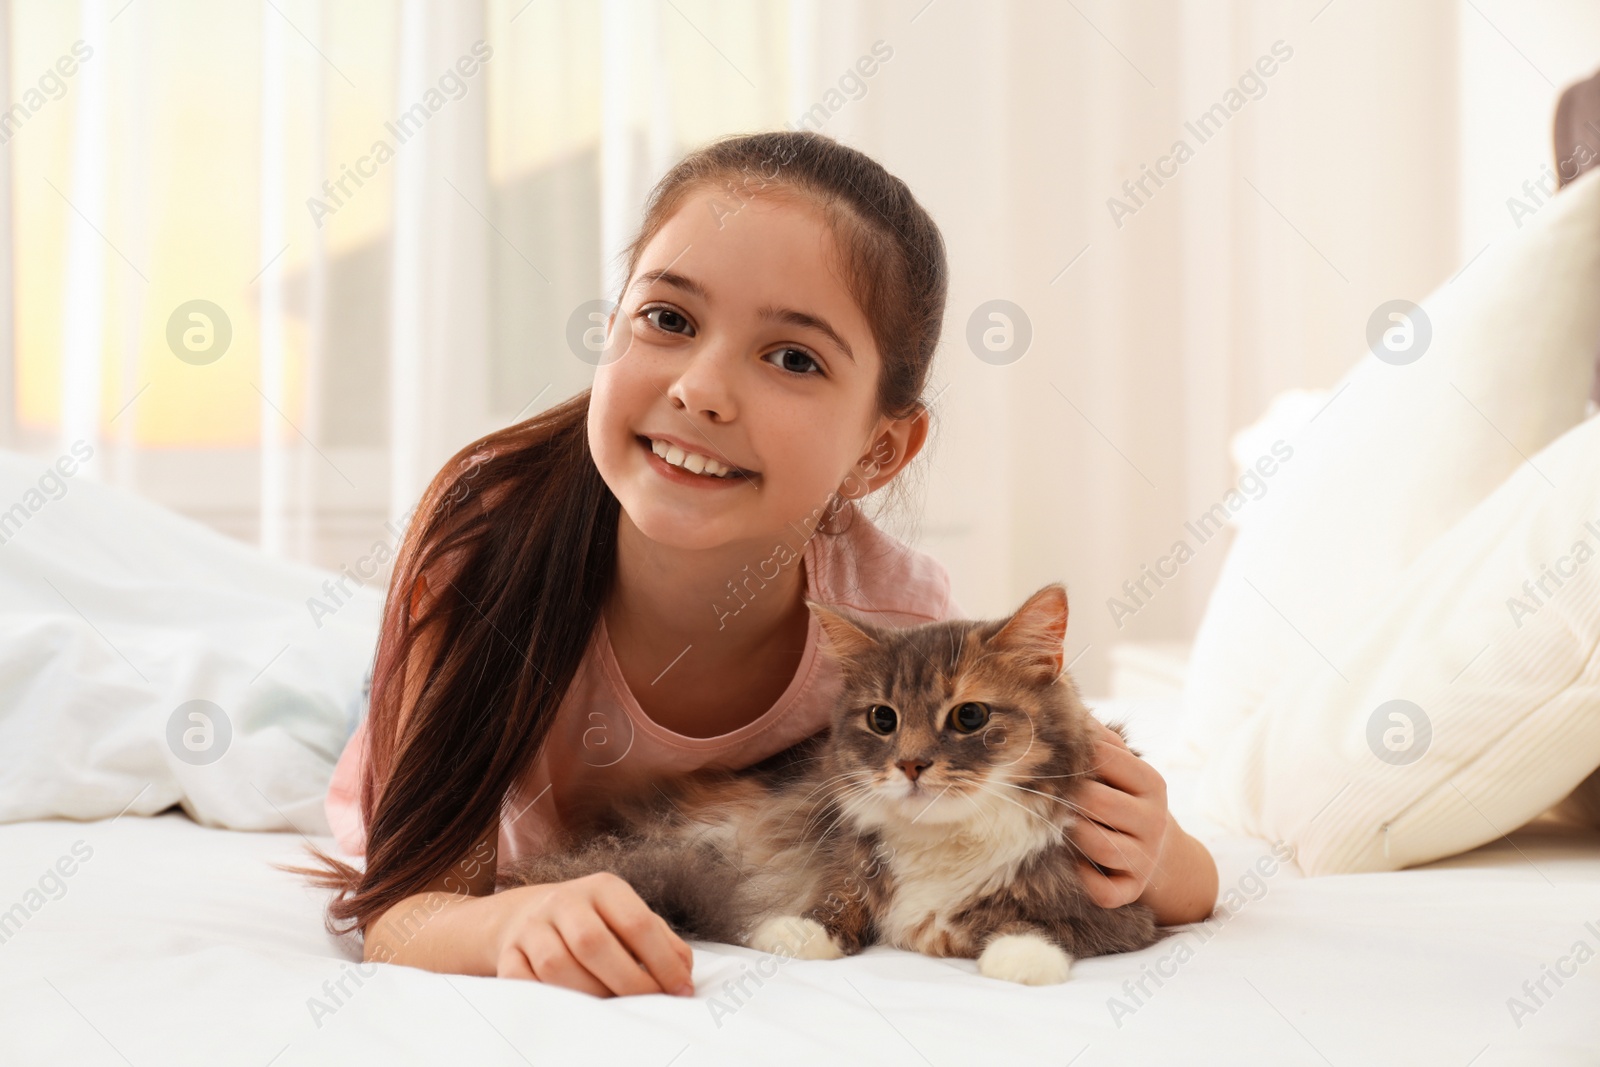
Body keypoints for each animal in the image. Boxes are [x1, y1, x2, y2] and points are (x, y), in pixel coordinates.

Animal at [492, 585, 1171, 985]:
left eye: (970, 717)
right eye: (882, 720)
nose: (912, 765)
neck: (942, 841)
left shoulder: (1125, 914)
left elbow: (1034, 923)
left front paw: (1020, 957)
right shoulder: (840, 860)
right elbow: (838, 899)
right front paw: (793, 933)